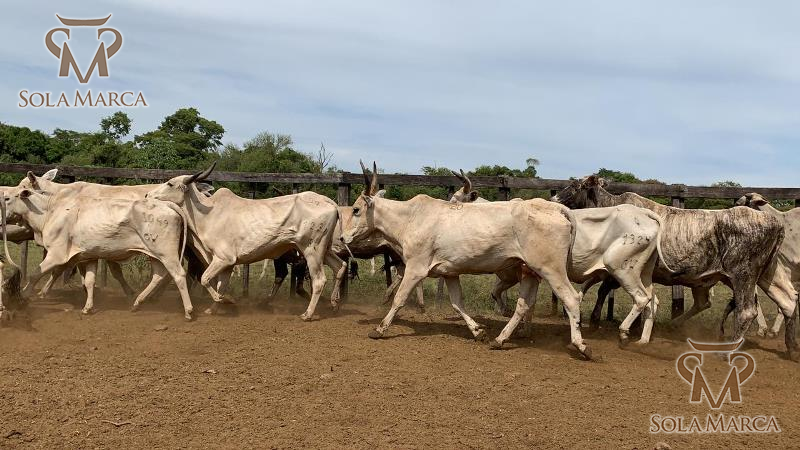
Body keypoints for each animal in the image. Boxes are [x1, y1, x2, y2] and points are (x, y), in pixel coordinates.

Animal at [2, 188, 194, 319]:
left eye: (7, 198)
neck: (50, 211)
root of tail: (166, 203)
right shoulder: (89, 257)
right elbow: (89, 281)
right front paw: (88, 307)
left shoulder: (56, 254)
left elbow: (36, 274)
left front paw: (24, 296)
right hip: (154, 254)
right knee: (159, 275)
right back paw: (137, 302)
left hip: (166, 252)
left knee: (178, 274)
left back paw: (188, 311)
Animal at [145, 163, 347, 321]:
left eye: (170, 183)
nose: (147, 195)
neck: (208, 214)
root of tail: (329, 202)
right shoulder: (226, 265)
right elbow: (220, 285)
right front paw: (213, 308)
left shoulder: (223, 259)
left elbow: (205, 279)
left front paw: (226, 301)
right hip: (324, 249)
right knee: (340, 266)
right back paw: (335, 304)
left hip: (311, 249)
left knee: (319, 280)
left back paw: (308, 314)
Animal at [341, 162, 593, 359]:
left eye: (356, 209)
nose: (343, 237)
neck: (409, 218)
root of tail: (556, 208)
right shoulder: (450, 272)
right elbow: (457, 303)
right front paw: (478, 332)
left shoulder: (415, 268)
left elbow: (399, 299)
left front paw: (379, 329)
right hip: (530, 270)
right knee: (523, 304)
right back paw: (499, 340)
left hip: (551, 268)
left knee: (571, 299)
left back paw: (581, 346)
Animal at [552, 175, 796, 357]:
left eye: (575, 186)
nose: (553, 197)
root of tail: (775, 223)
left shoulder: (617, 267)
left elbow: (604, 289)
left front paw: (598, 322)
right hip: (767, 273)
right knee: (788, 300)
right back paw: (792, 348)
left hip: (743, 274)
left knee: (747, 311)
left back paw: (727, 350)